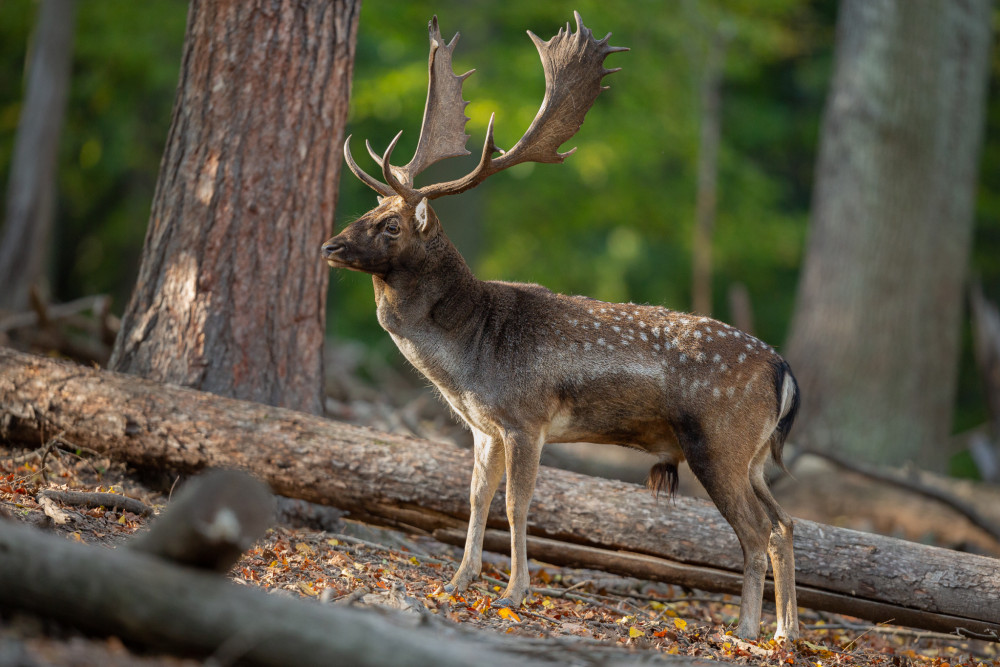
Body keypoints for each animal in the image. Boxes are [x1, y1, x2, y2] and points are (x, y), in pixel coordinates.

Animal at [324, 14, 800, 640]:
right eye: (368, 210)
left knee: (756, 530)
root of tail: (784, 369)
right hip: (754, 456)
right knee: (787, 523)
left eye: (391, 225)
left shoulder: (527, 418)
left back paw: (746, 632)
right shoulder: (483, 426)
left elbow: (516, 505)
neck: (468, 355)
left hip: (718, 441)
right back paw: (786, 632)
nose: (330, 246)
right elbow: (474, 498)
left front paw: (514, 591)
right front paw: (458, 581)